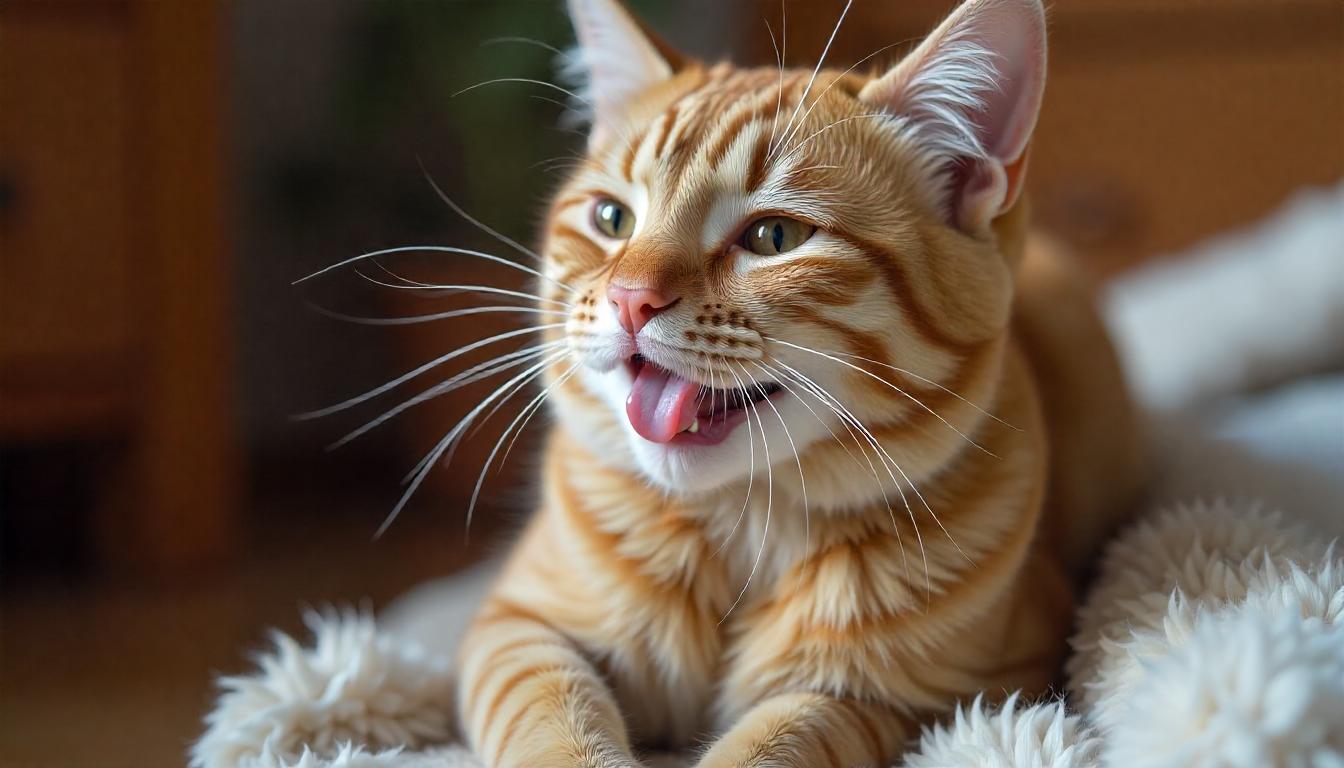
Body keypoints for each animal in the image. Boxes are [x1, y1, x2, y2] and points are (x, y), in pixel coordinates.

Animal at [456, 1, 1139, 763]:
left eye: (775, 237)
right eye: (612, 219)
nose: (630, 298)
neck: (742, 524)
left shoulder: (949, 693)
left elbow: (780, 734)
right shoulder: (517, 628)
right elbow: (554, 718)